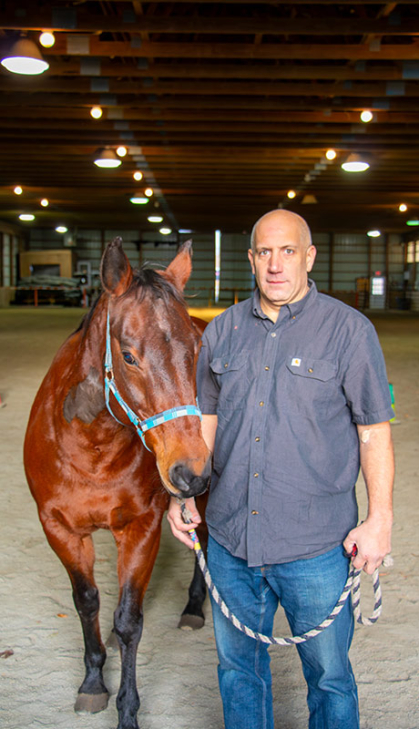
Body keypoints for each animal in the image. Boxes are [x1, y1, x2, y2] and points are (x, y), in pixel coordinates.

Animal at [24, 239, 212, 728]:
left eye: (198, 349)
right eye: (128, 356)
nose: (191, 472)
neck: (92, 448)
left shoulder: (141, 528)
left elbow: (129, 620)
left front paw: (127, 709)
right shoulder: (60, 529)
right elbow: (86, 601)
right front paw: (93, 681)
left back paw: (193, 607)